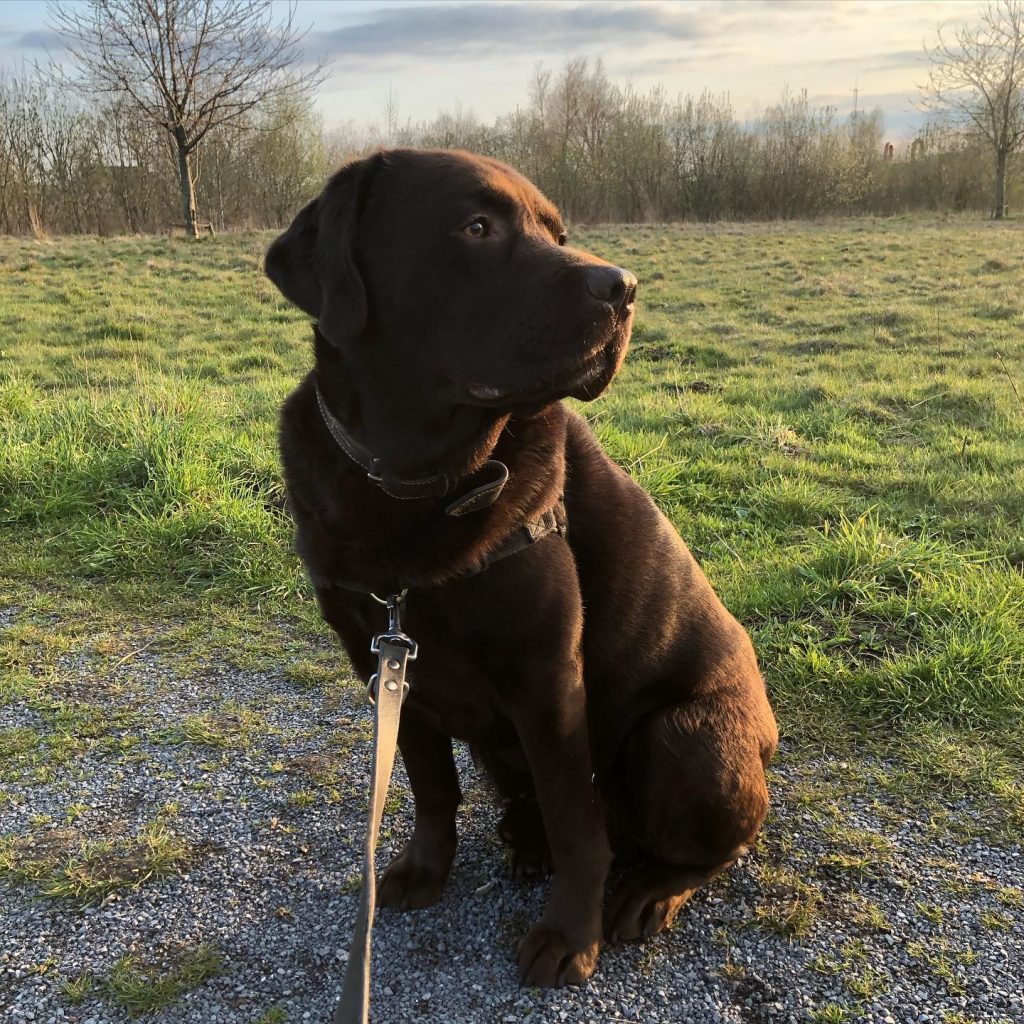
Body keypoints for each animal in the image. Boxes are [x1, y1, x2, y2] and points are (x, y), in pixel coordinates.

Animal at [264, 148, 774, 987]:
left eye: (558, 233)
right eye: (476, 227)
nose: (623, 286)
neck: (416, 482)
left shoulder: (547, 679)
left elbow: (577, 823)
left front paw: (570, 935)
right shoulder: (385, 667)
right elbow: (430, 786)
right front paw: (423, 869)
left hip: (683, 742)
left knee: (710, 849)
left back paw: (648, 893)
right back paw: (524, 840)